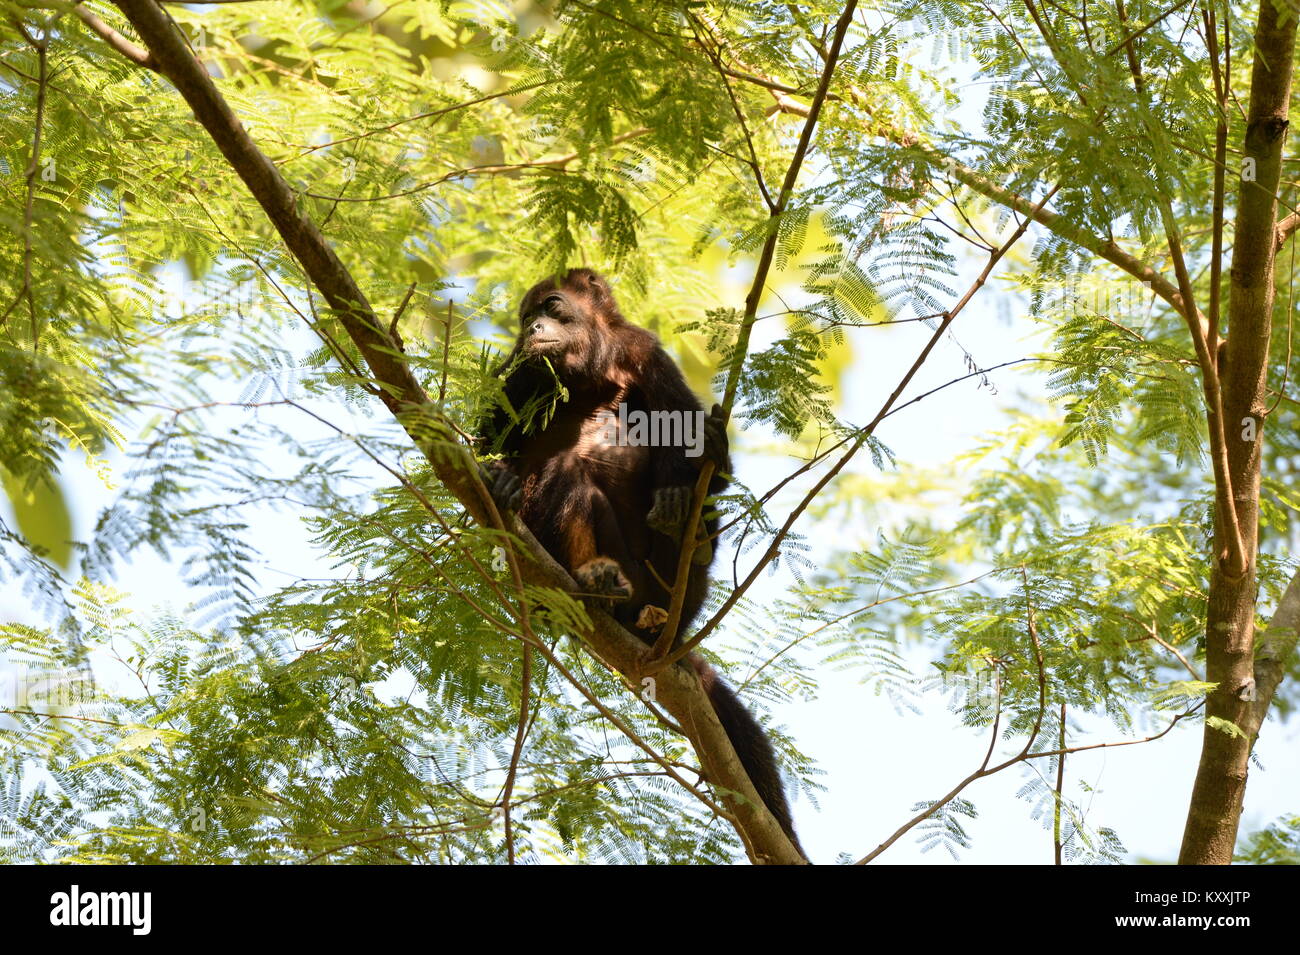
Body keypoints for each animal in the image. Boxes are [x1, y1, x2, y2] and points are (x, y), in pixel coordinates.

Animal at [478, 265, 800, 857]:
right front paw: (500, 477)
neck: (591, 373)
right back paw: (594, 578)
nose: (533, 326)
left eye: (552, 306)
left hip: (681, 591)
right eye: (525, 316)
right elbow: (485, 442)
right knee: (565, 472)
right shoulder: (519, 368)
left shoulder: (645, 352)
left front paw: (696, 471)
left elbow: (704, 452)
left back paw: (685, 530)